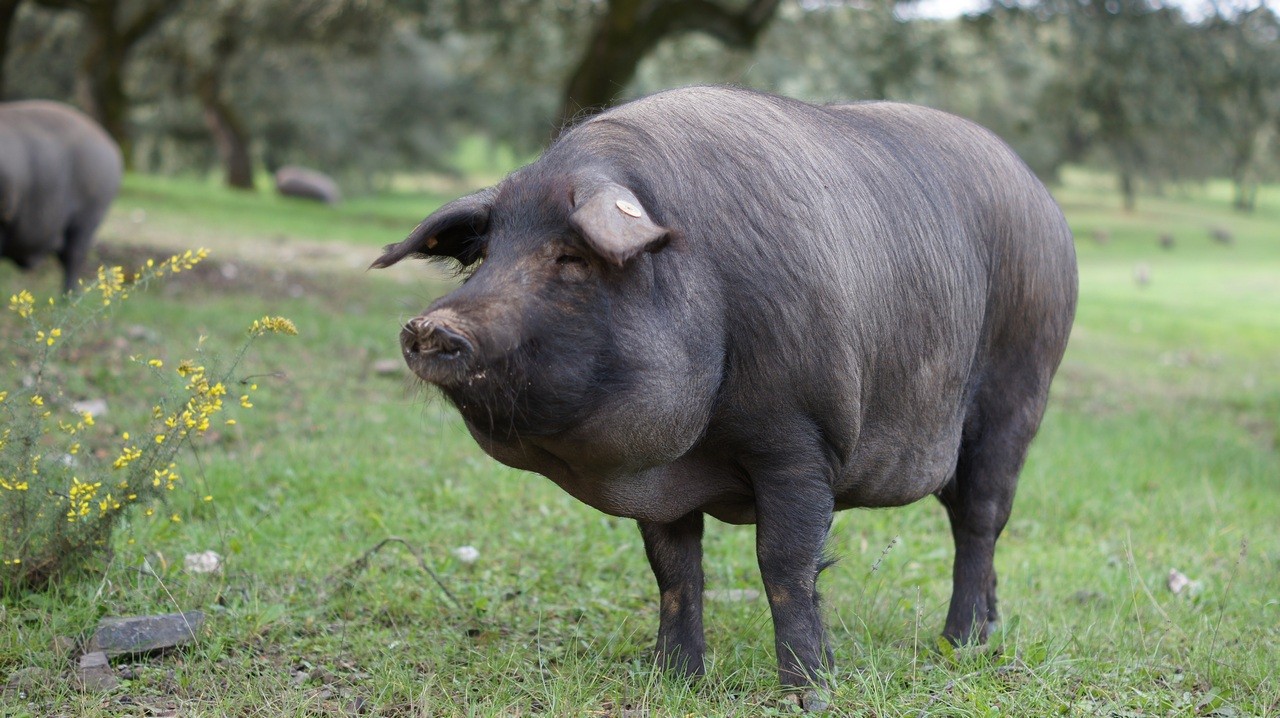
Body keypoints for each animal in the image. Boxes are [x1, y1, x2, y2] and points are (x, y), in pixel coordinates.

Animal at [373, 85, 1080, 706]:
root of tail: (1046, 203)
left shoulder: (800, 437)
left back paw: (957, 646)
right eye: (485, 255)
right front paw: (673, 680)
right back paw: (987, 632)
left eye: (570, 257)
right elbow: (674, 570)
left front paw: (809, 693)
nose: (429, 326)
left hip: (1019, 393)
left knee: (980, 521)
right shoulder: (659, 478)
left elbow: (785, 564)